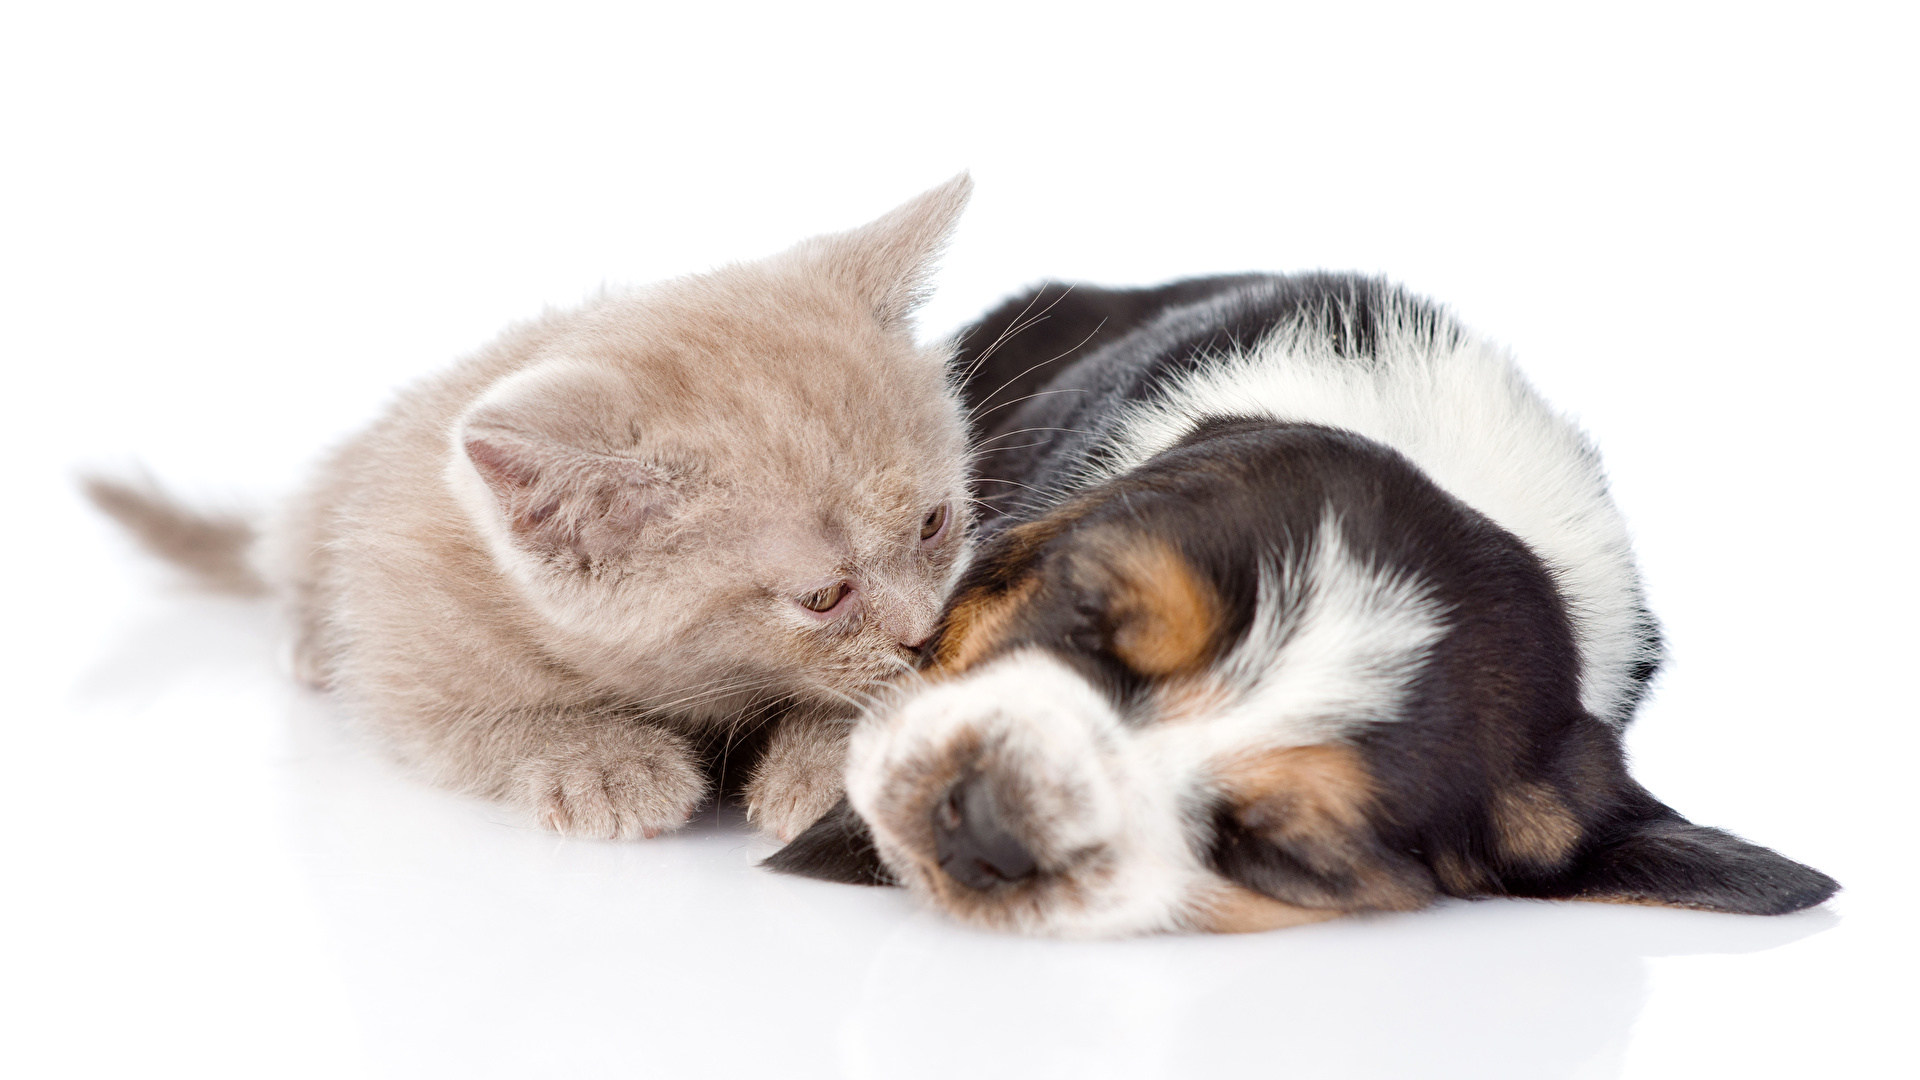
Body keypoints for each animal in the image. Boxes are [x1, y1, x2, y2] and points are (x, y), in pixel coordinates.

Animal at [88, 174, 975, 841]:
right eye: (821, 596)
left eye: (934, 524)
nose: (924, 632)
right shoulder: (404, 656)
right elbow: (484, 722)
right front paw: (603, 762)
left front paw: (828, 756)